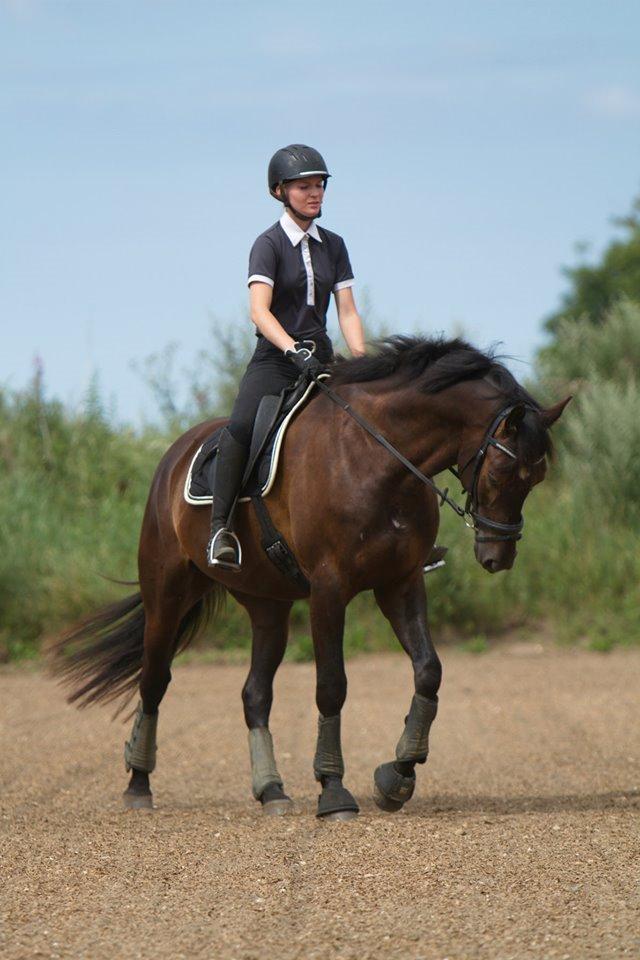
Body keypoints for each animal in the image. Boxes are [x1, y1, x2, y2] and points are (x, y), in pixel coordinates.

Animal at [51, 336, 568, 816]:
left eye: (537, 478)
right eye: (502, 472)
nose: (498, 555)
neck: (377, 456)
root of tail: (174, 456)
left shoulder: (400, 583)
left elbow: (428, 672)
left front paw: (396, 776)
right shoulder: (329, 588)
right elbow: (332, 686)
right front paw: (334, 791)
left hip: (268, 606)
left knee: (254, 694)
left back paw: (272, 791)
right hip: (167, 595)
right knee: (154, 680)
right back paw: (139, 785)